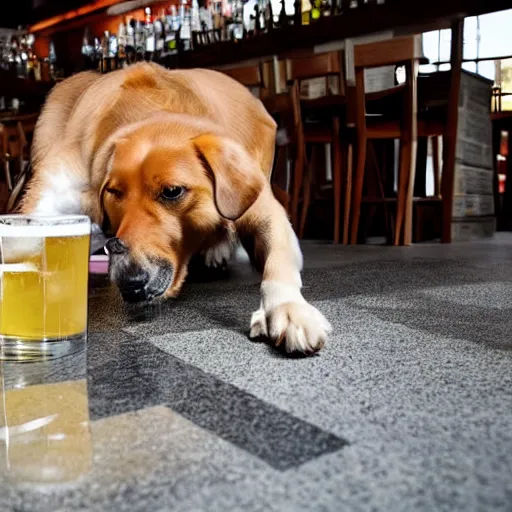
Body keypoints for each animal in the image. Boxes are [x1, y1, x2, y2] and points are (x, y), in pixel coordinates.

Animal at [20, 62, 330, 354]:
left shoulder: (261, 208)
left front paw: (288, 308)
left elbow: (279, 258)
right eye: (114, 192)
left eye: (172, 192)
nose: (131, 281)